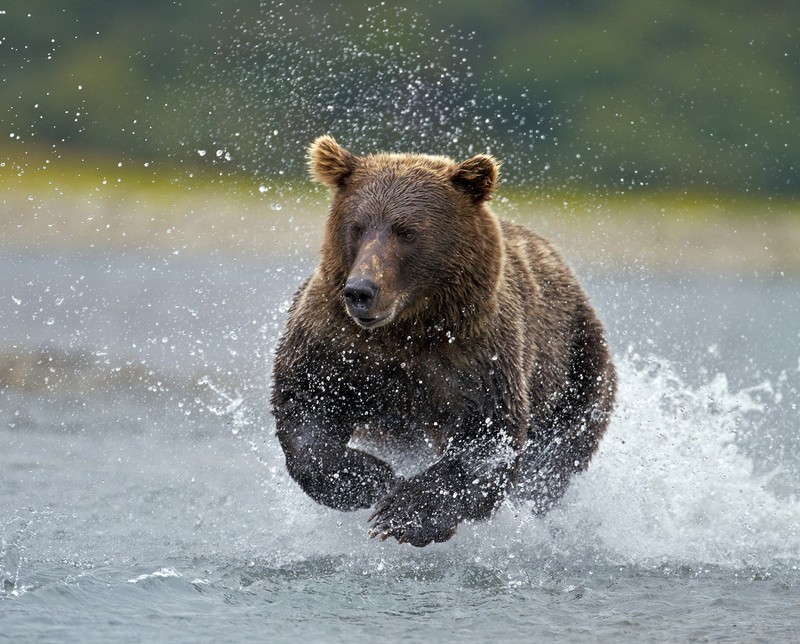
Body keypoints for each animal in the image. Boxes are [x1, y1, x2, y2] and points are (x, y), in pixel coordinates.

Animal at [272, 136, 616, 548]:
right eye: (357, 227)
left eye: (406, 231)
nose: (360, 291)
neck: (409, 327)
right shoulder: (338, 342)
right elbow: (306, 403)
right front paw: (368, 477)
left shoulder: (478, 355)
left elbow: (487, 438)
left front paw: (404, 514)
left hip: (578, 365)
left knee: (555, 458)